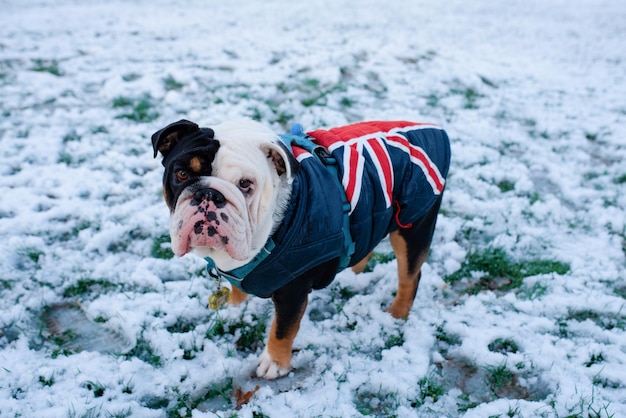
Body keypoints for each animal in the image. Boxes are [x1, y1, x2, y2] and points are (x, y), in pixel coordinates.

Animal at [151, 117, 448, 378]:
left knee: (410, 274)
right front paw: (235, 309)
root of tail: (433, 128)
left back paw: (396, 315)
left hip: (413, 225)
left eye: (246, 184)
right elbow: (237, 289)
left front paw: (274, 364)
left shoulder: (291, 293)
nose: (209, 194)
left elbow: (282, 330)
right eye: (181, 173)